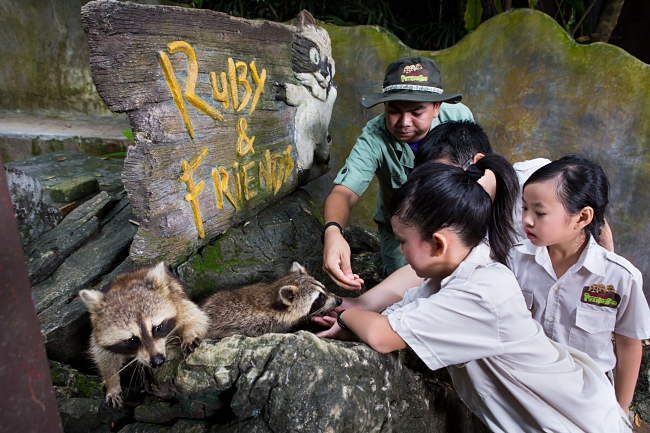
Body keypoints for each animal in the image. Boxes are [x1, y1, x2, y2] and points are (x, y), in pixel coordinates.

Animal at [79, 260, 208, 408]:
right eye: (132, 340)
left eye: (157, 328)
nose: (157, 361)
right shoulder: (98, 333)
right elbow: (103, 356)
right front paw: (112, 382)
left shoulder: (178, 301)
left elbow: (196, 317)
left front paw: (189, 335)